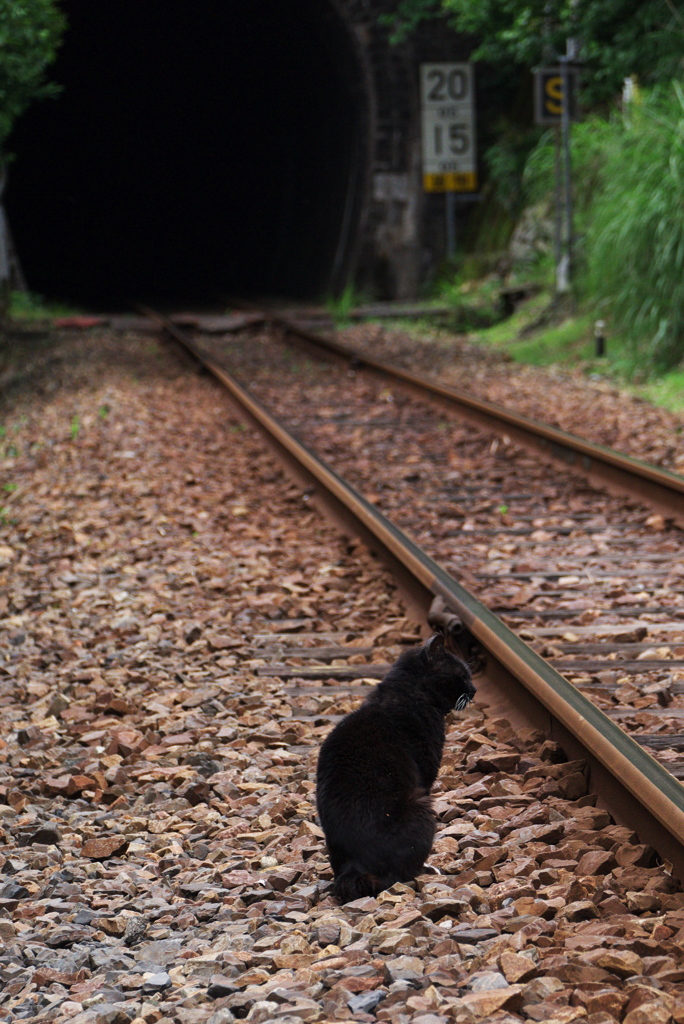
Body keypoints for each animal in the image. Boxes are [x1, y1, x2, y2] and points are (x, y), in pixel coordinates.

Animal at [317, 630, 473, 905]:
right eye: (463, 675)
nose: (474, 690)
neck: (408, 693)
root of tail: (354, 867)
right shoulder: (426, 772)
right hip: (420, 805)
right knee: (400, 874)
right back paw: (427, 870)